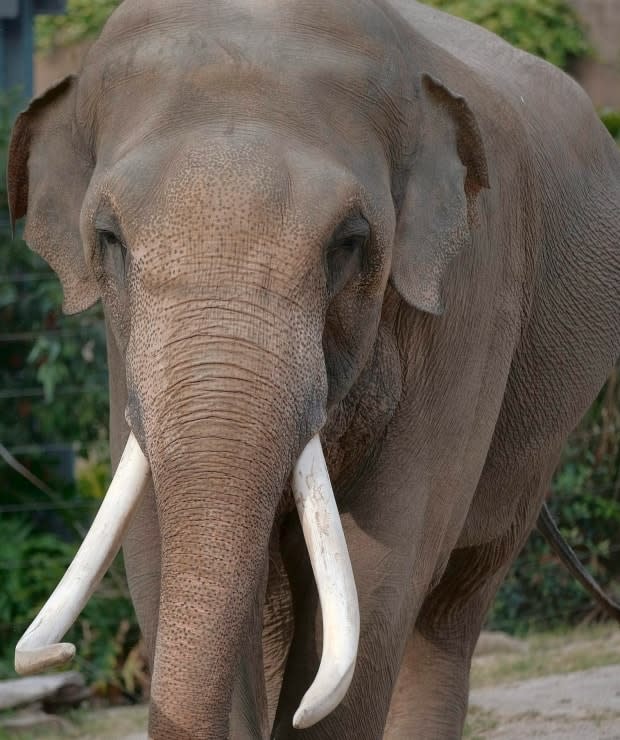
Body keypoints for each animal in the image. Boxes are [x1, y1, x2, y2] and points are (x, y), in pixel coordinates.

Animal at [6, 0, 620, 736]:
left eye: (349, 242)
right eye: (108, 239)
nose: (59, 655)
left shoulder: (472, 294)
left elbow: (380, 570)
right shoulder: (122, 353)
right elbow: (153, 553)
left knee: (453, 602)